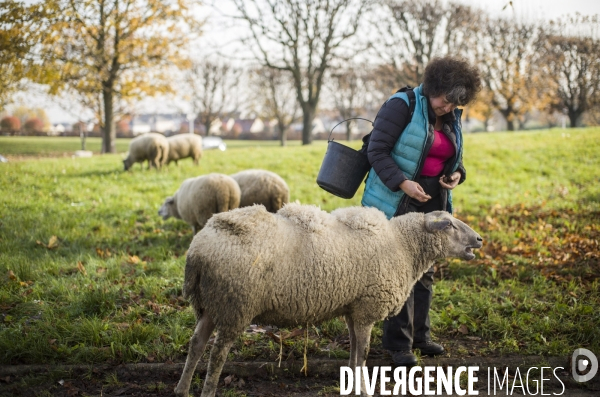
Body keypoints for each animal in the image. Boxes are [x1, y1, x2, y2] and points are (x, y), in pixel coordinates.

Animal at [173, 204, 482, 396]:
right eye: (450, 225)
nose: (479, 239)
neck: (402, 246)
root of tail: (198, 250)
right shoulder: (367, 309)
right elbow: (363, 353)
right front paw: (364, 389)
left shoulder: (353, 309)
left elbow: (355, 350)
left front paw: (352, 384)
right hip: (235, 305)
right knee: (217, 354)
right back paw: (208, 390)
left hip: (212, 304)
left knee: (196, 344)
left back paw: (182, 389)